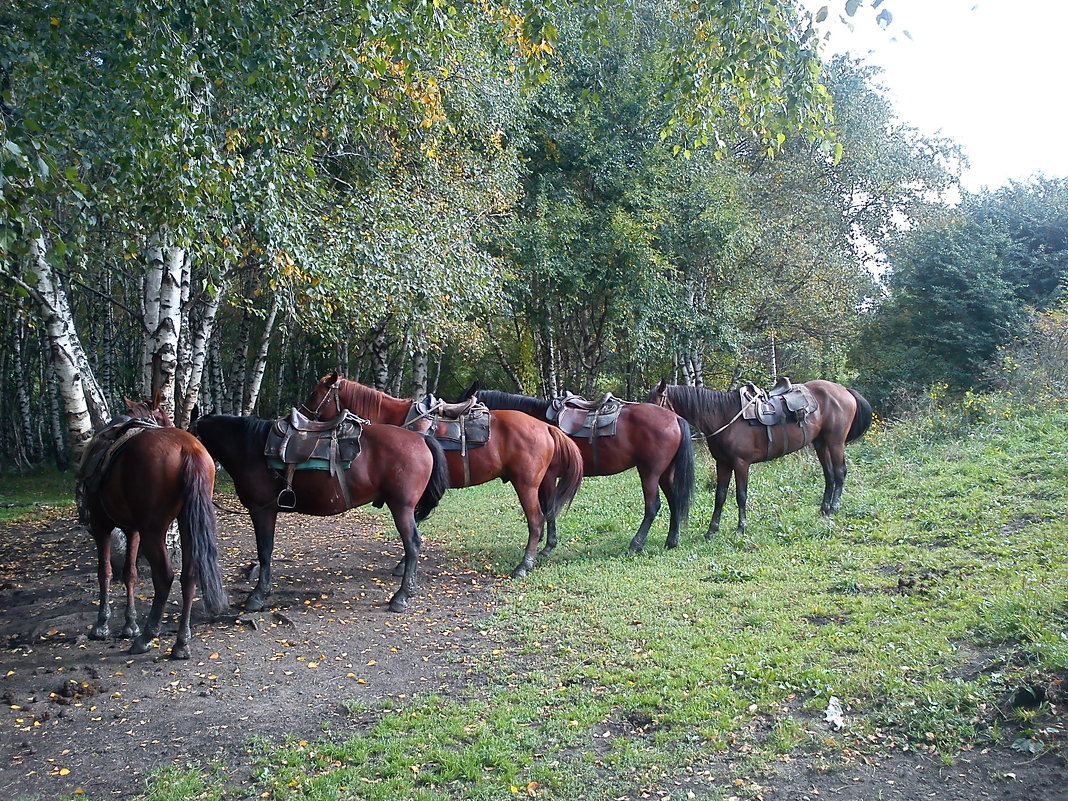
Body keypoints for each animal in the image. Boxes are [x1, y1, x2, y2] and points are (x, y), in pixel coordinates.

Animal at [80, 393, 228, 662]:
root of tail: (189, 449)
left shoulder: (101, 525)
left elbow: (105, 571)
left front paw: (101, 625)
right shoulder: (133, 531)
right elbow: (130, 573)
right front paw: (129, 624)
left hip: (153, 531)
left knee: (165, 577)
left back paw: (147, 637)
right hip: (185, 525)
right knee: (189, 576)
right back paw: (181, 643)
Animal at [190, 414, 448, 615]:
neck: (250, 448)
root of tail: (420, 438)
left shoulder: (262, 510)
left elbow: (264, 550)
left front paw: (258, 595)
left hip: (401, 507)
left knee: (412, 545)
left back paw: (401, 597)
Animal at [301, 373, 585, 580]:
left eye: (315, 393)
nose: (303, 417)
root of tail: (545, 426)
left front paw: (403, 564)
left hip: (525, 484)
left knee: (536, 521)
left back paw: (523, 566)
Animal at [454, 386, 696, 555]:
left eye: (466, 409)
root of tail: (675, 417)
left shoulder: (549, 476)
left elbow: (549, 507)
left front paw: (547, 546)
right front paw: (540, 539)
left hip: (650, 472)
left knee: (653, 506)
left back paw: (635, 545)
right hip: (664, 473)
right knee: (675, 500)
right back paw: (671, 541)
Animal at [645, 380, 871, 540]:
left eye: (656, 403)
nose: (651, 420)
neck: (723, 417)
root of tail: (844, 390)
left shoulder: (741, 464)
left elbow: (741, 496)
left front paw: (740, 528)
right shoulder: (723, 464)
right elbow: (720, 496)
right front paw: (711, 530)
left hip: (835, 442)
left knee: (840, 472)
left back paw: (833, 508)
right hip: (821, 443)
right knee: (829, 474)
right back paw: (824, 510)